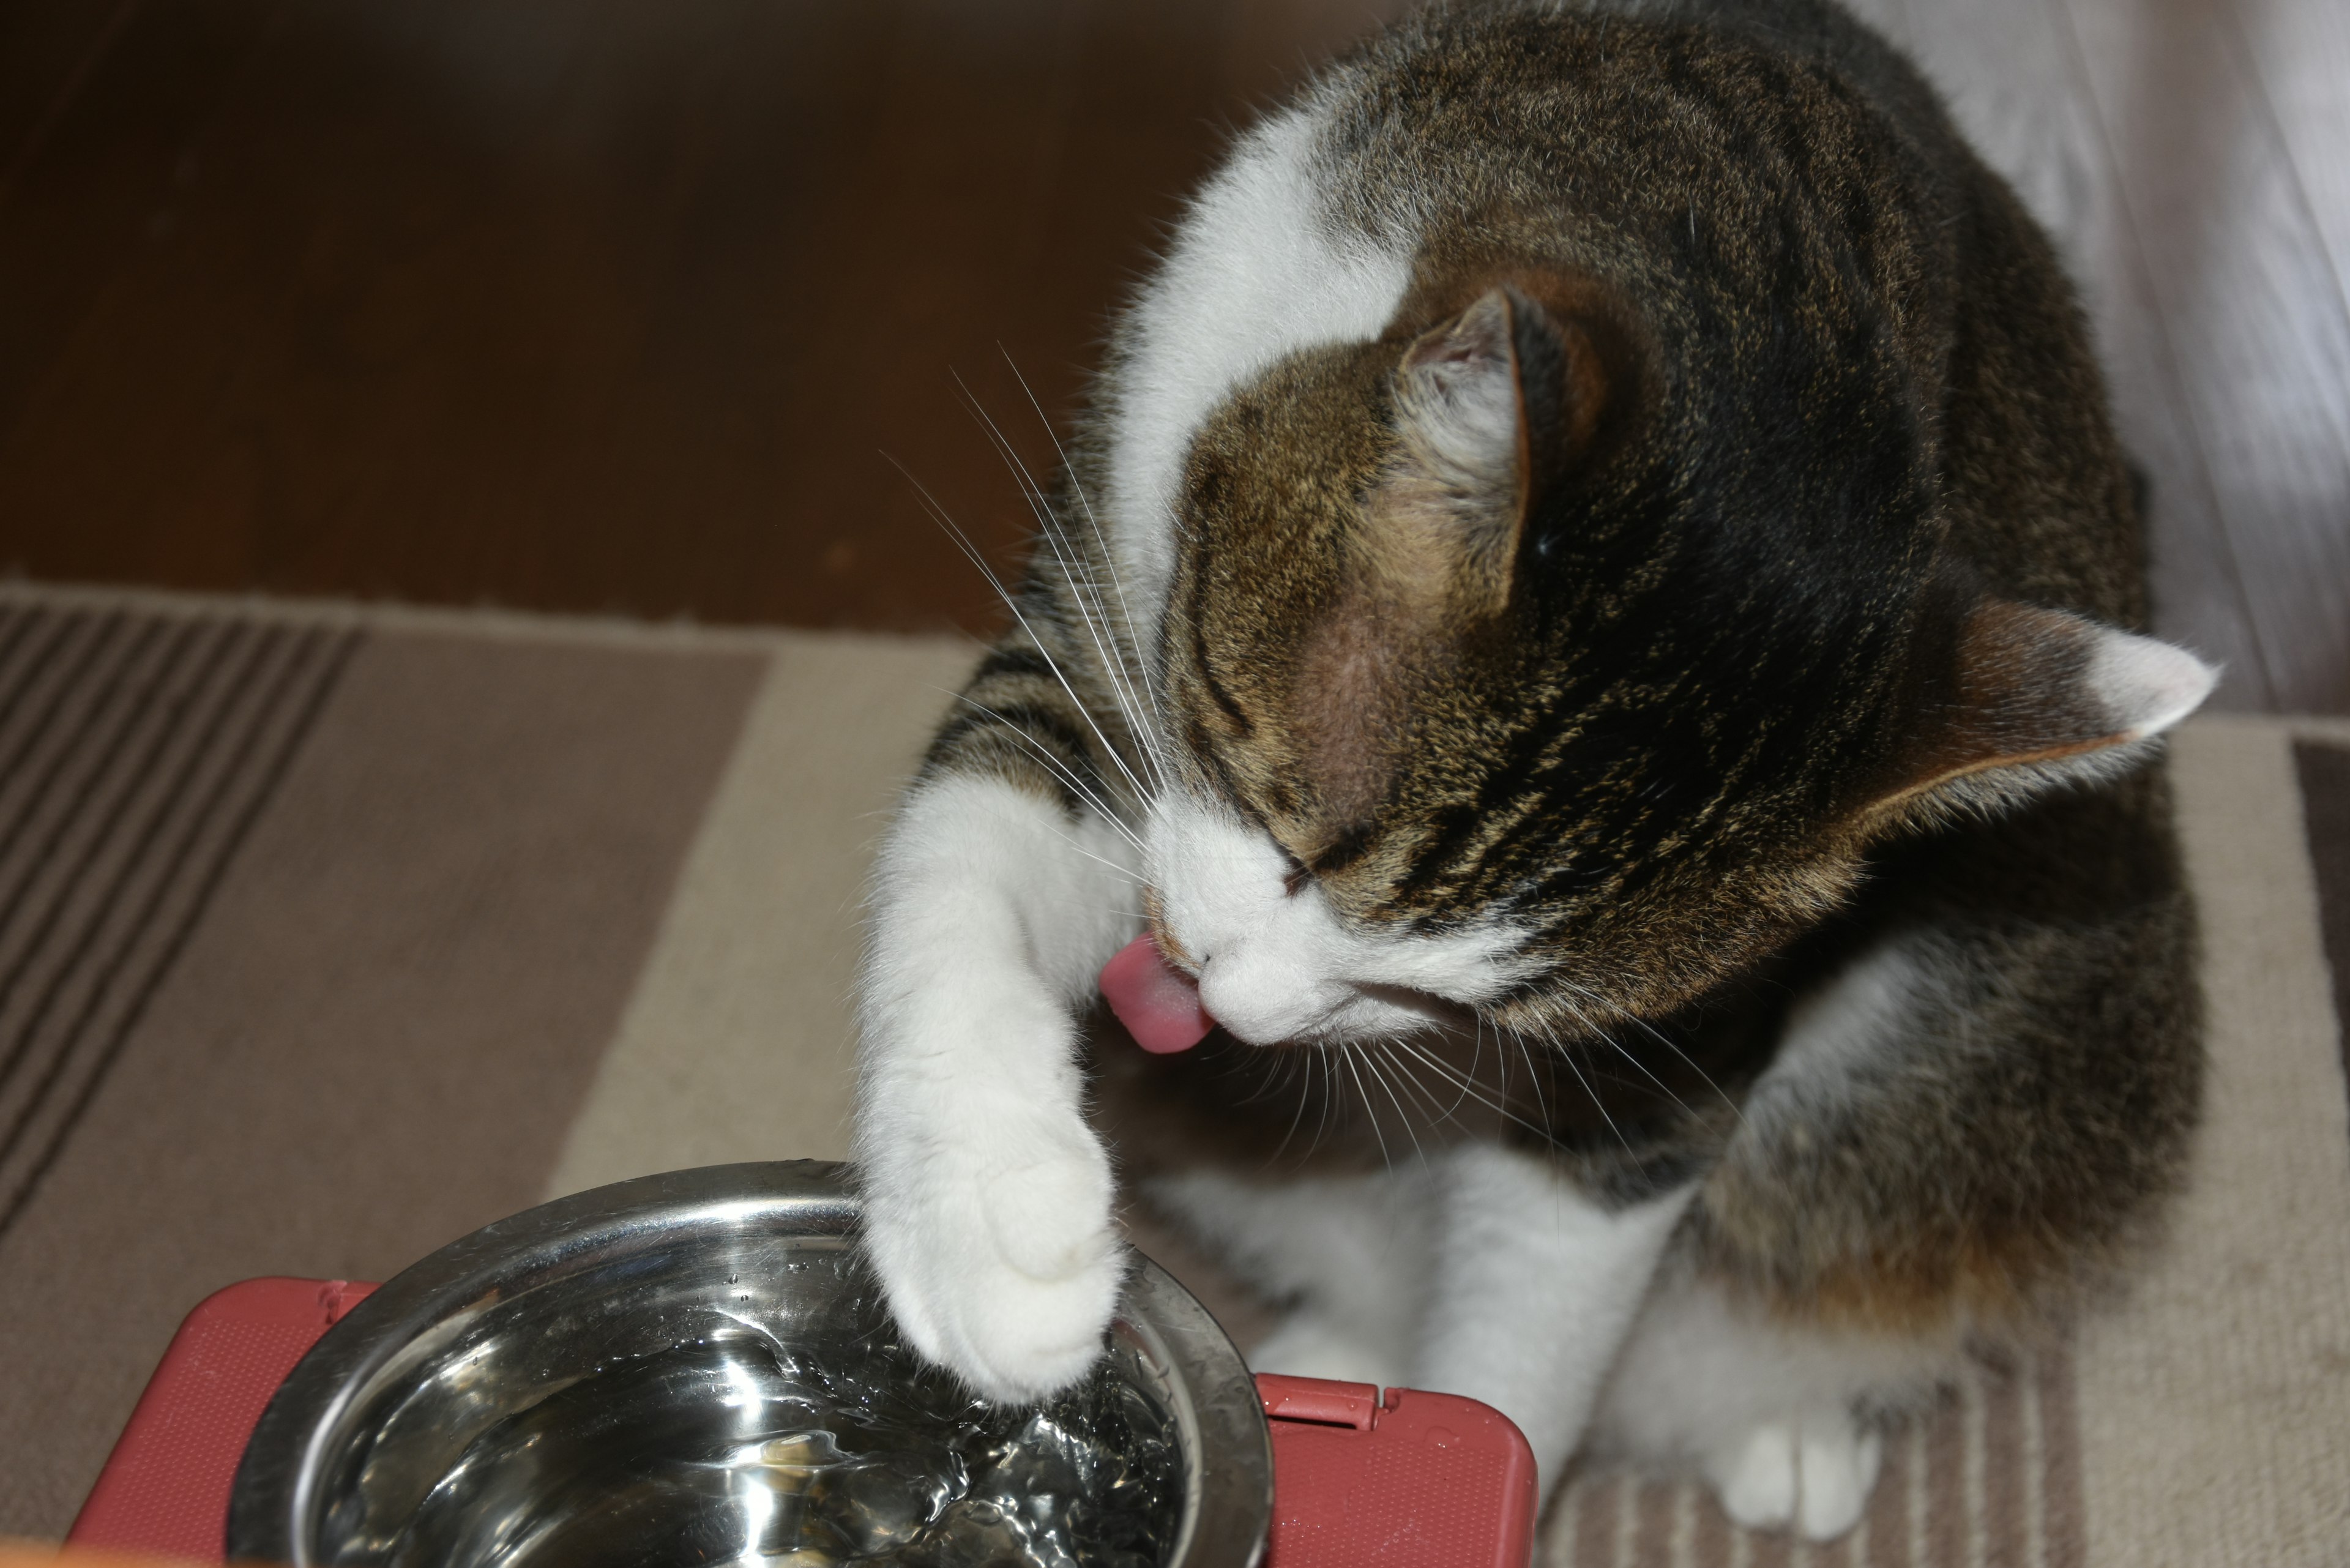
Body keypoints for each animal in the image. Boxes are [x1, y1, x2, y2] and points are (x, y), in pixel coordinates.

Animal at [855, 0, 2209, 1542]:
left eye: (1464, 999)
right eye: (1280, 828)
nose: (1238, 1010)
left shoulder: (1657, 1062)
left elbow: (1536, 1316)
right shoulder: (1112, 579)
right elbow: (972, 838)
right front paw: (987, 1220)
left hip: (2018, 1081)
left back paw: (1787, 1419)